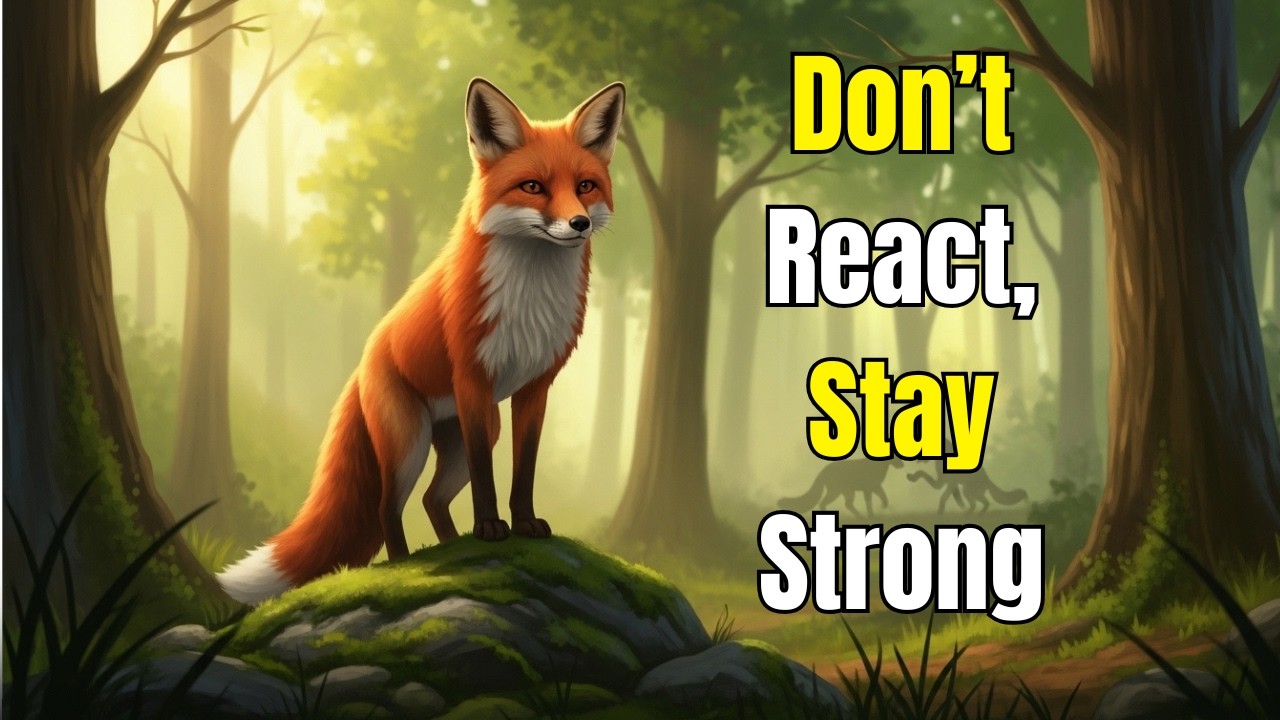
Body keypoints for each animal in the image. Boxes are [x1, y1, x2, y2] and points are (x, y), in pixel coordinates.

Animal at [217, 78, 626, 604]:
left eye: (585, 186)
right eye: (533, 186)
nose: (579, 224)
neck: (529, 297)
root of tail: (362, 362)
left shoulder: (535, 389)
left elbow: (524, 470)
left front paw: (524, 524)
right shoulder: (472, 378)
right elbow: (489, 478)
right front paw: (490, 527)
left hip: (467, 435)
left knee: (432, 499)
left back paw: (451, 547)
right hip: (410, 442)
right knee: (387, 508)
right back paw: (405, 563)